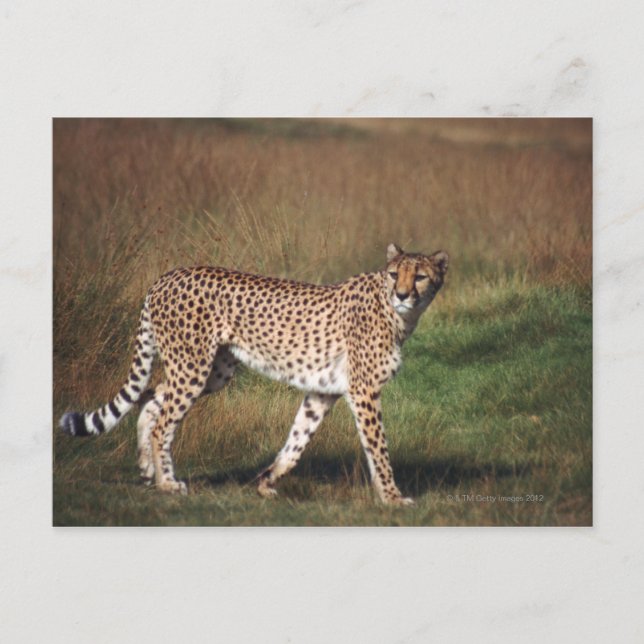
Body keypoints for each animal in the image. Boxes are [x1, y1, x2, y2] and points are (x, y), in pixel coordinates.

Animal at [59, 243, 448, 505]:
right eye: (395, 274)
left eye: (420, 277)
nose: (402, 294)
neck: (398, 314)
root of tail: (167, 276)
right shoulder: (364, 391)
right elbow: (378, 449)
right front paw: (393, 498)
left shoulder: (323, 391)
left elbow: (297, 441)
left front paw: (266, 481)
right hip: (193, 367)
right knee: (163, 421)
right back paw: (168, 483)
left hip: (212, 371)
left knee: (152, 399)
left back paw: (146, 469)